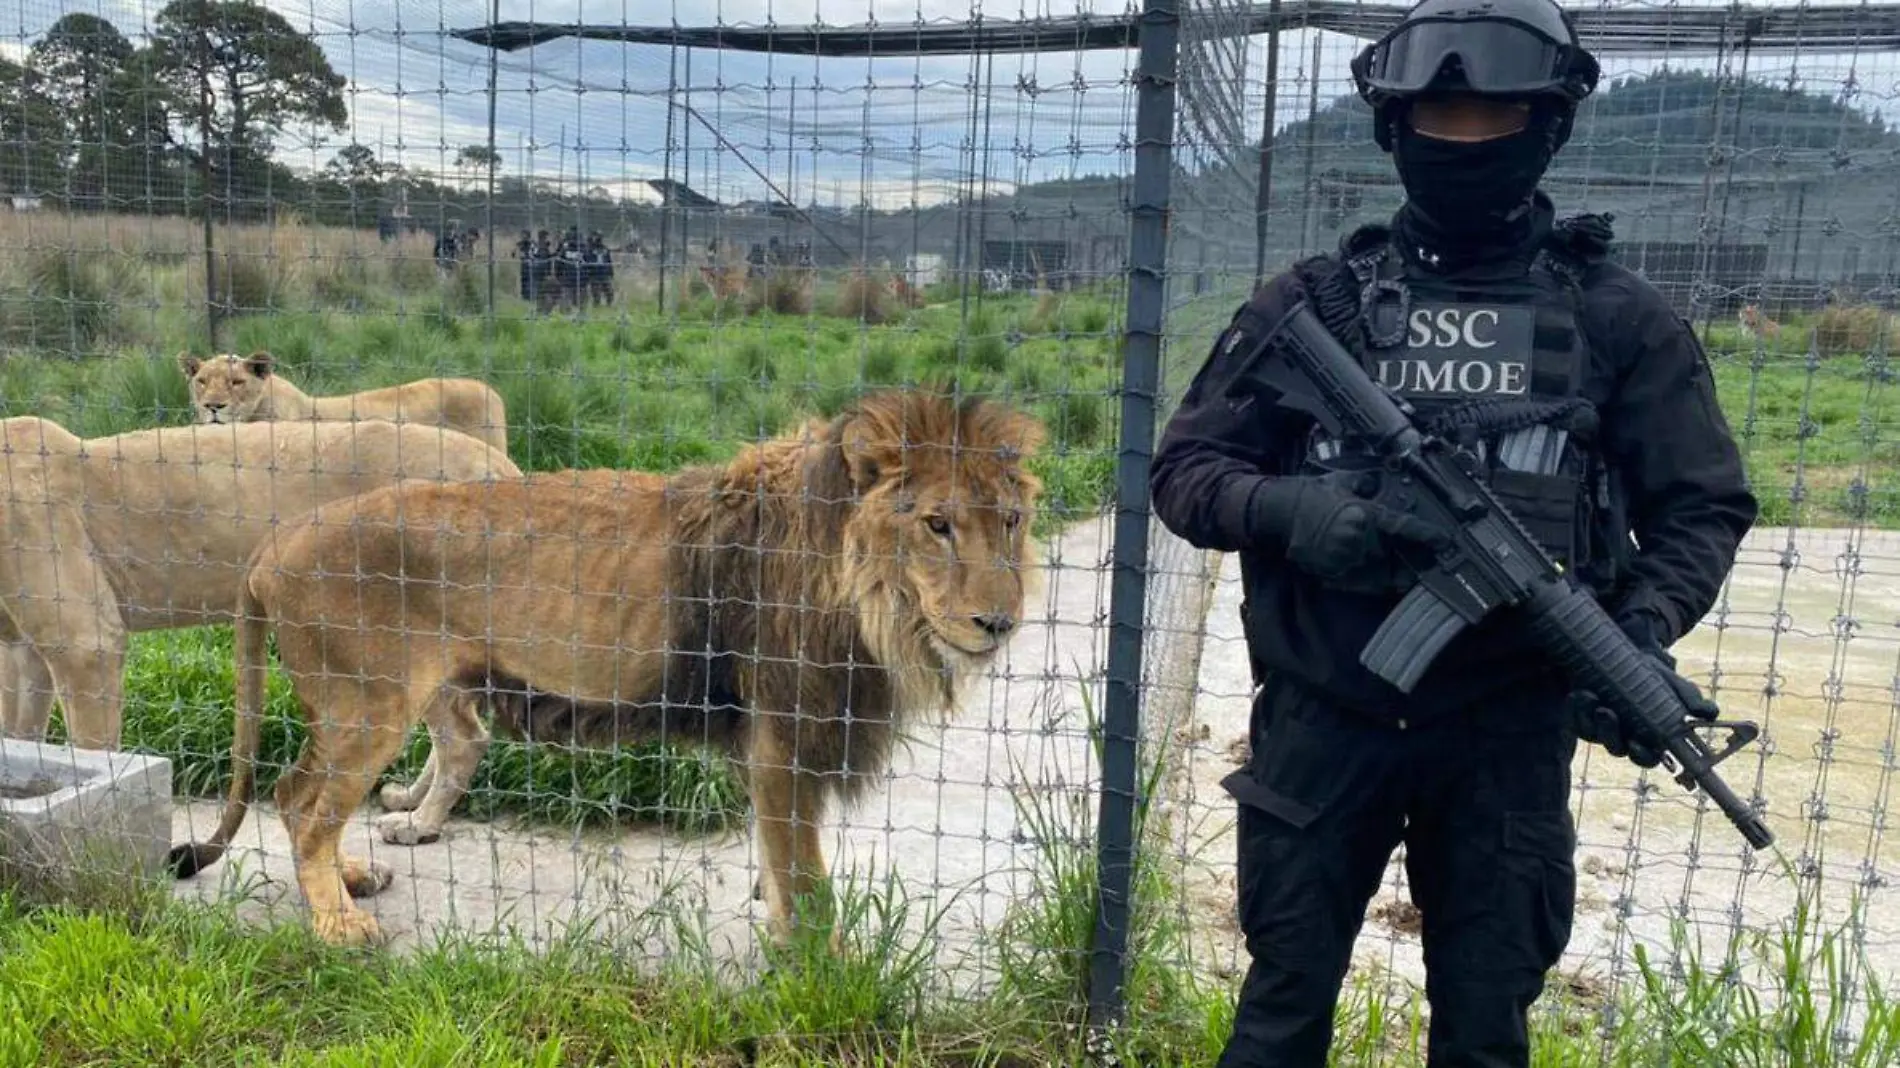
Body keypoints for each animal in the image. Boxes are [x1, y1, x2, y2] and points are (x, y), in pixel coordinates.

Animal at [0, 414, 520, 748]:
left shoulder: (86, 643)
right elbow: (20, 738)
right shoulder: (20, 650)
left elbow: (93, 752)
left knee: (461, 737)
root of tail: (497, 463)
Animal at [171, 391, 1048, 946]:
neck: (873, 603)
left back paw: (353, 878)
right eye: (937, 525)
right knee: (303, 805)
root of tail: (273, 543)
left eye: (1010, 521)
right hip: (367, 705)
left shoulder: (773, 739)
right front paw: (818, 969)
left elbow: (781, 860)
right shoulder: (782, 738)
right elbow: (805, 878)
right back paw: (338, 922)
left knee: (307, 798)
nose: (1000, 622)